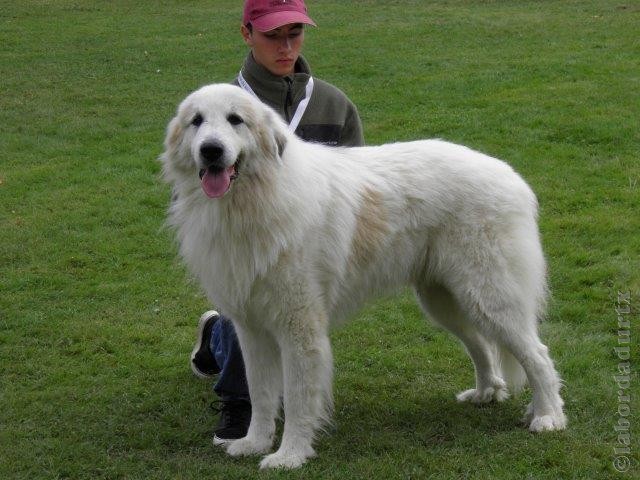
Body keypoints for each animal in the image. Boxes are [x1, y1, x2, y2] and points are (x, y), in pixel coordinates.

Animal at [162, 83, 568, 468]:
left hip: (489, 297)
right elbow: (261, 394)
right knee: (482, 346)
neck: (253, 200)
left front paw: (289, 455)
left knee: (537, 355)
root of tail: (511, 176)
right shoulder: (252, 329)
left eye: (235, 120)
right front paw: (254, 443)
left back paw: (548, 416)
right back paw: (486, 393)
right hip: (445, 301)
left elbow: (297, 398)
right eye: (197, 121)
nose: (211, 150)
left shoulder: (298, 327)